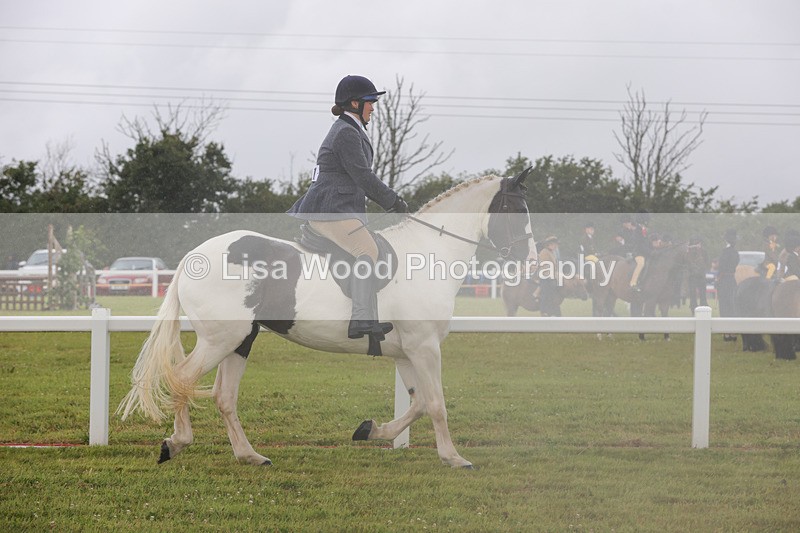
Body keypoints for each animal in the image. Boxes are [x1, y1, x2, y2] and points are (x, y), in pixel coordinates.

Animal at [118, 170, 536, 469]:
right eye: (517, 211)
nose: (530, 262)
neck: (429, 253)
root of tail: (192, 257)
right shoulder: (425, 347)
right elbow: (435, 403)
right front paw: (453, 457)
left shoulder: (407, 352)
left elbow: (417, 403)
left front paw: (370, 431)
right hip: (220, 339)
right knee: (183, 378)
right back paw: (176, 443)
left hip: (241, 340)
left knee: (223, 396)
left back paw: (250, 455)